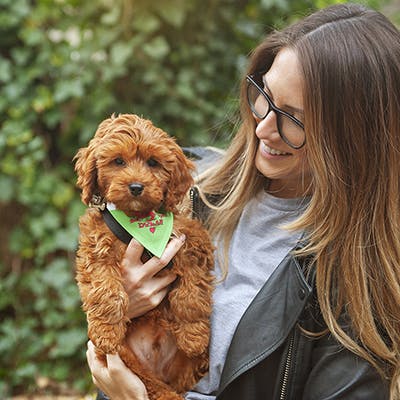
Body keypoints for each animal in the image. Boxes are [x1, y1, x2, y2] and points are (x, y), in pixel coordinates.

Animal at [73, 114, 214, 398]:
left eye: (153, 162)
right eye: (118, 161)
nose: (136, 187)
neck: (139, 222)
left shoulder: (190, 243)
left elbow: (191, 293)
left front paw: (194, 334)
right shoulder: (96, 251)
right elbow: (106, 291)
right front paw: (106, 331)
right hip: (125, 359)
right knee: (150, 384)